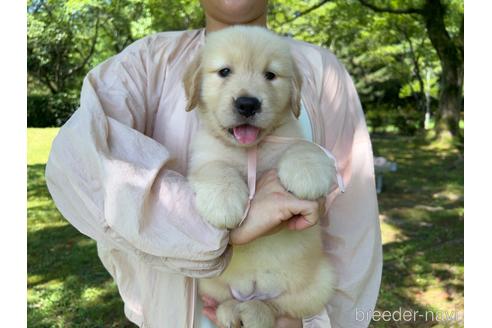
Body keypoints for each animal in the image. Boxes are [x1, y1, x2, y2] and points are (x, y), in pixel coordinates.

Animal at [184, 26, 338, 328]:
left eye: (270, 75)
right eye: (224, 71)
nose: (247, 104)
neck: (249, 150)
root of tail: (253, 290)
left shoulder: (289, 136)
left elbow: (303, 147)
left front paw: (308, 172)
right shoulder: (204, 158)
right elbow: (217, 169)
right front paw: (224, 203)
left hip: (320, 283)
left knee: (279, 307)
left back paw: (255, 313)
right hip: (210, 283)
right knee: (227, 299)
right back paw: (232, 311)